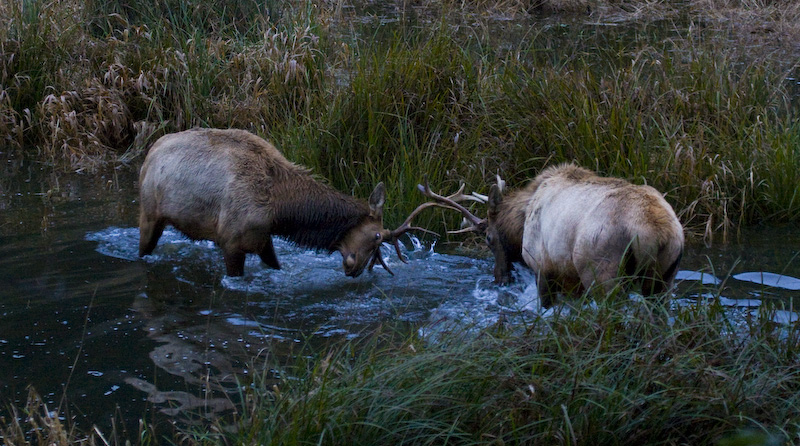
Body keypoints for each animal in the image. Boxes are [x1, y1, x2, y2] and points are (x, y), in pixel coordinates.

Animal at [138, 127, 432, 278]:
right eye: (376, 236)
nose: (356, 269)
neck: (279, 209)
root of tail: (149, 152)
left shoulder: (262, 239)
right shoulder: (231, 241)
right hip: (149, 214)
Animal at [416, 164, 684, 306]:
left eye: (489, 240)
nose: (499, 278)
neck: (521, 222)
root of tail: (657, 230)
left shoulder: (543, 266)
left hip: (602, 271)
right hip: (665, 277)